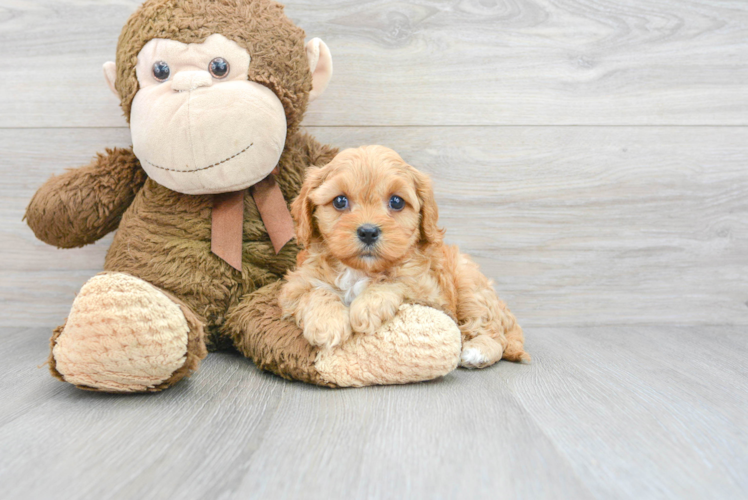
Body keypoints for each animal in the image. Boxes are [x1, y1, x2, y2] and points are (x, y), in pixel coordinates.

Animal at [280, 145, 532, 368]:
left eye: (396, 201)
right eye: (340, 201)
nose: (368, 232)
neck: (360, 270)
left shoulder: (429, 291)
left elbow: (397, 281)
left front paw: (367, 307)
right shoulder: (294, 285)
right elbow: (315, 291)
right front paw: (327, 322)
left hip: (469, 284)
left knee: (494, 333)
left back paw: (477, 352)